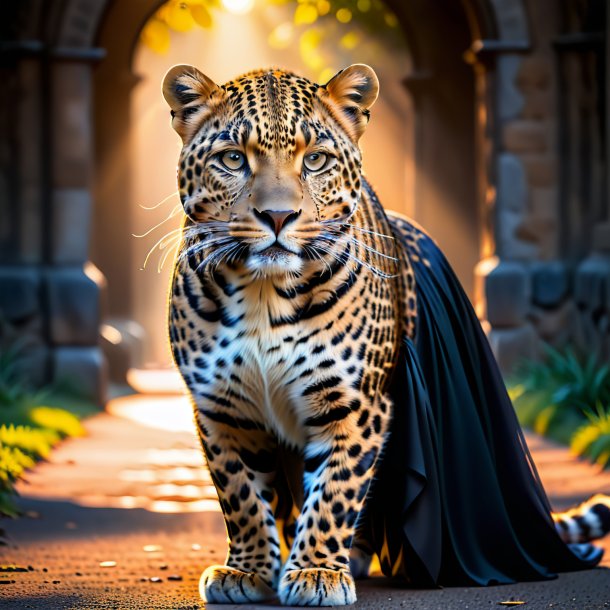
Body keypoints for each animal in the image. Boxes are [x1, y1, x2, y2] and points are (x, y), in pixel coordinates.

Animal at [162, 61, 608, 604]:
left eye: (315, 160)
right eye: (231, 159)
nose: (278, 216)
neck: (264, 295)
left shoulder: (353, 402)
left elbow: (334, 491)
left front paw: (316, 572)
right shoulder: (221, 408)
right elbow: (240, 493)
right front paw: (246, 570)